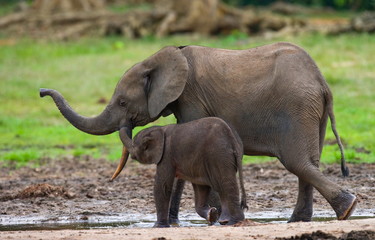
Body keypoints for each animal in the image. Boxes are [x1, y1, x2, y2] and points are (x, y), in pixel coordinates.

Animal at [120, 117, 248, 228]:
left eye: (133, 145)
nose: (126, 123)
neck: (160, 129)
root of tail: (232, 140)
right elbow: (201, 188)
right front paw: (212, 214)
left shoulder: (166, 155)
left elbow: (162, 186)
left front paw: (158, 227)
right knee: (223, 189)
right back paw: (224, 221)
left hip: (219, 156)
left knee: (226, 185)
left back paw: (233, 222)